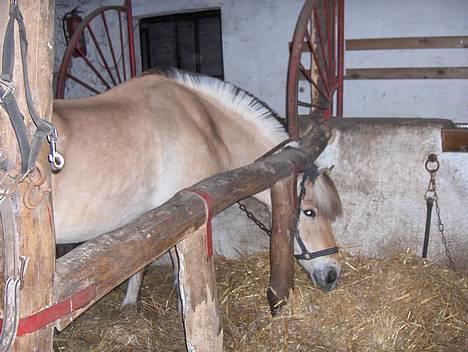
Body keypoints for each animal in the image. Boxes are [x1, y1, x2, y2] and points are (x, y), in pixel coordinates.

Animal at [52, 71, 344, 308]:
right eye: (309, 212)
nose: (333, 274)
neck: (205, 124)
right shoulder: (182, 221)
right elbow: (180, 274)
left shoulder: (148, 221)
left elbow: (141, 267)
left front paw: (130, 303)